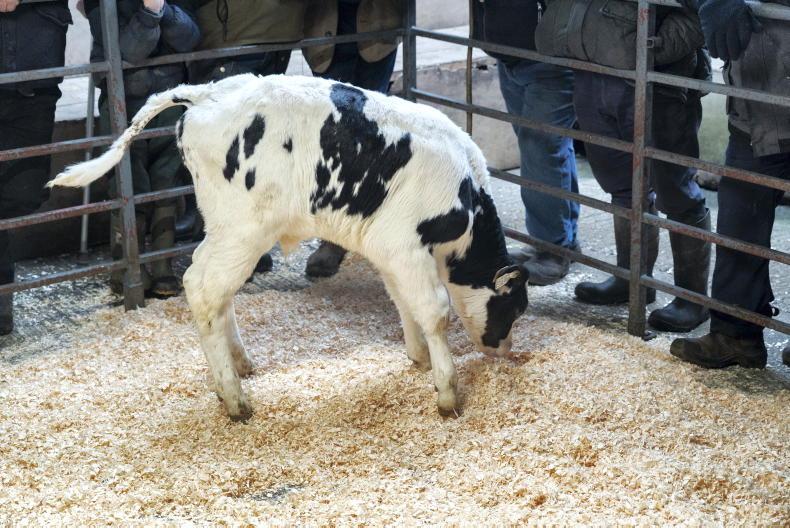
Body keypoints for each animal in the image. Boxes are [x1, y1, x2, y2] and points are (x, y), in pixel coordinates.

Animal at [50, 74, 529, 421]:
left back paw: (239, 364)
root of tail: (204, 94)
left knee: (215, 292)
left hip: (225, 229)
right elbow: (434, 312)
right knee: (203, 287)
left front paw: (419, 358)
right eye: (515, 308)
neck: (465, 190)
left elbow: (403, 302)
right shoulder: (408, 248)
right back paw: (234, 399)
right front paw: (448, 392)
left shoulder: (388, 249)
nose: (505, 351)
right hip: (244, 229)